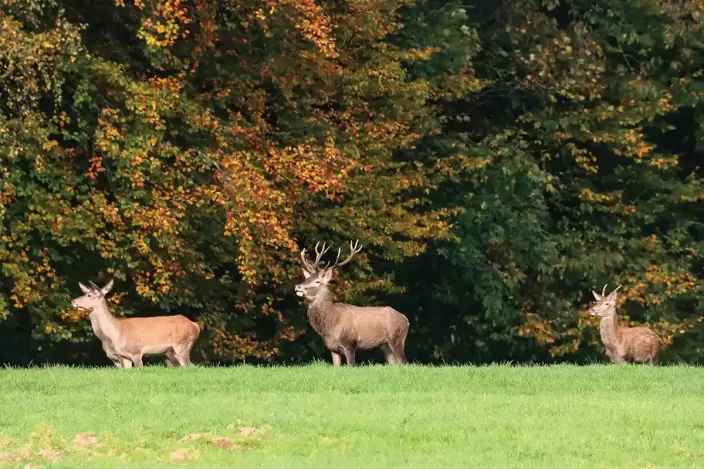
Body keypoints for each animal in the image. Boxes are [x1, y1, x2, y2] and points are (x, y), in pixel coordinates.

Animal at [71, 278, 199, 366]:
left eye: (89, 295)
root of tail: (195, 325)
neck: (116, 332)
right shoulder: (124, 356)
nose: (73, 301)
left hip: (182, 345)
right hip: (170, 353)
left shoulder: (135, 352)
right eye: (84, 293)